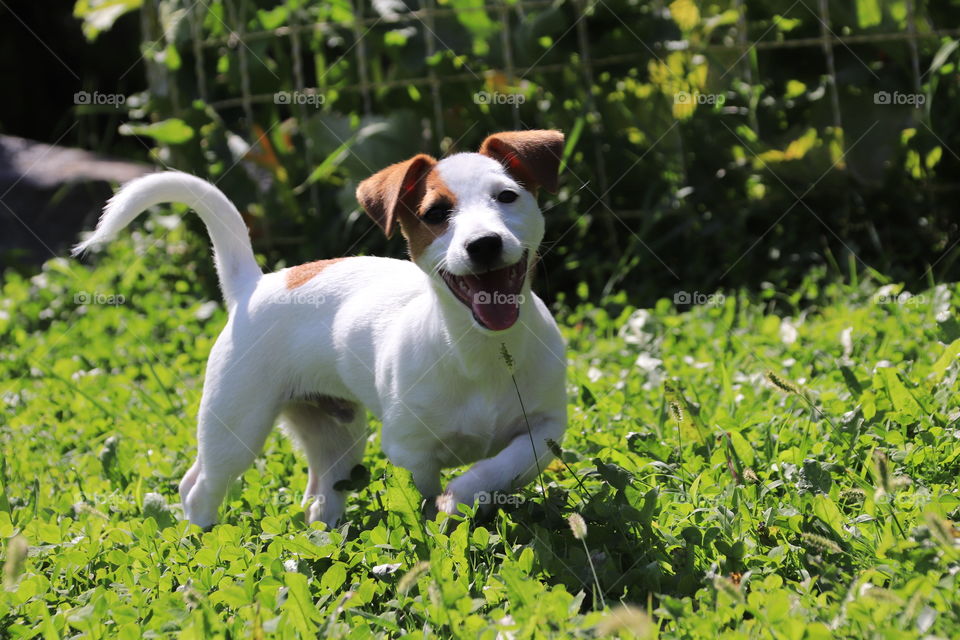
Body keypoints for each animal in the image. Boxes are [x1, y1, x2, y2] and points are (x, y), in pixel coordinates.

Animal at [77, 130, 568, 528]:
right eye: (435, 214)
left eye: (506, 196)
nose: (483, 244)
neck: (481, 350)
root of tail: (252, 284)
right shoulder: (408, 449)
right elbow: (426, 494)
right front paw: (445, 510)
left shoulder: (548, 427)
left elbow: (506, 463)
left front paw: (465, 494)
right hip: (236, 425)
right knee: (200, 486)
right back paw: (202, 540)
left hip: (337, 433)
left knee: (318, 494)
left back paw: (323, 530)